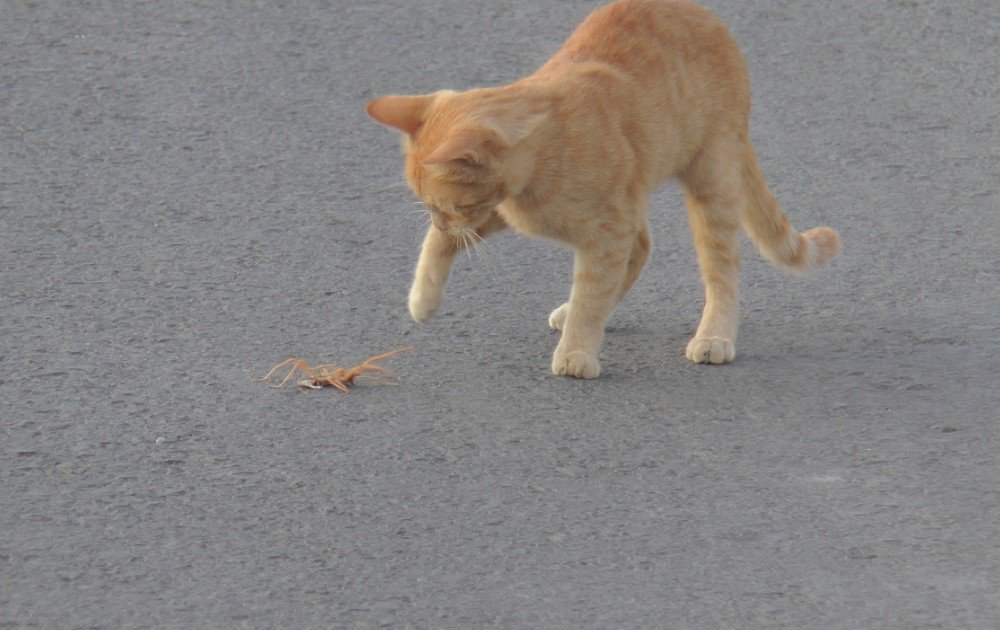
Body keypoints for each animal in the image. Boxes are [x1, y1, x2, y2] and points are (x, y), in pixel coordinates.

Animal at [368, 0, 836, 380]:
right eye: (428, 206)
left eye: (443, 204)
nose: (439, 220)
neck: (543, 155)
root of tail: (710, 19)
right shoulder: (501, 211)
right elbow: (436, 247)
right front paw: (423, 298)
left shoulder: (606, 230)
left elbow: (593, 291)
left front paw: (577, 351)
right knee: (642, 247)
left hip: (710, 184)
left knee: (720, 272)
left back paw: (714, 336)